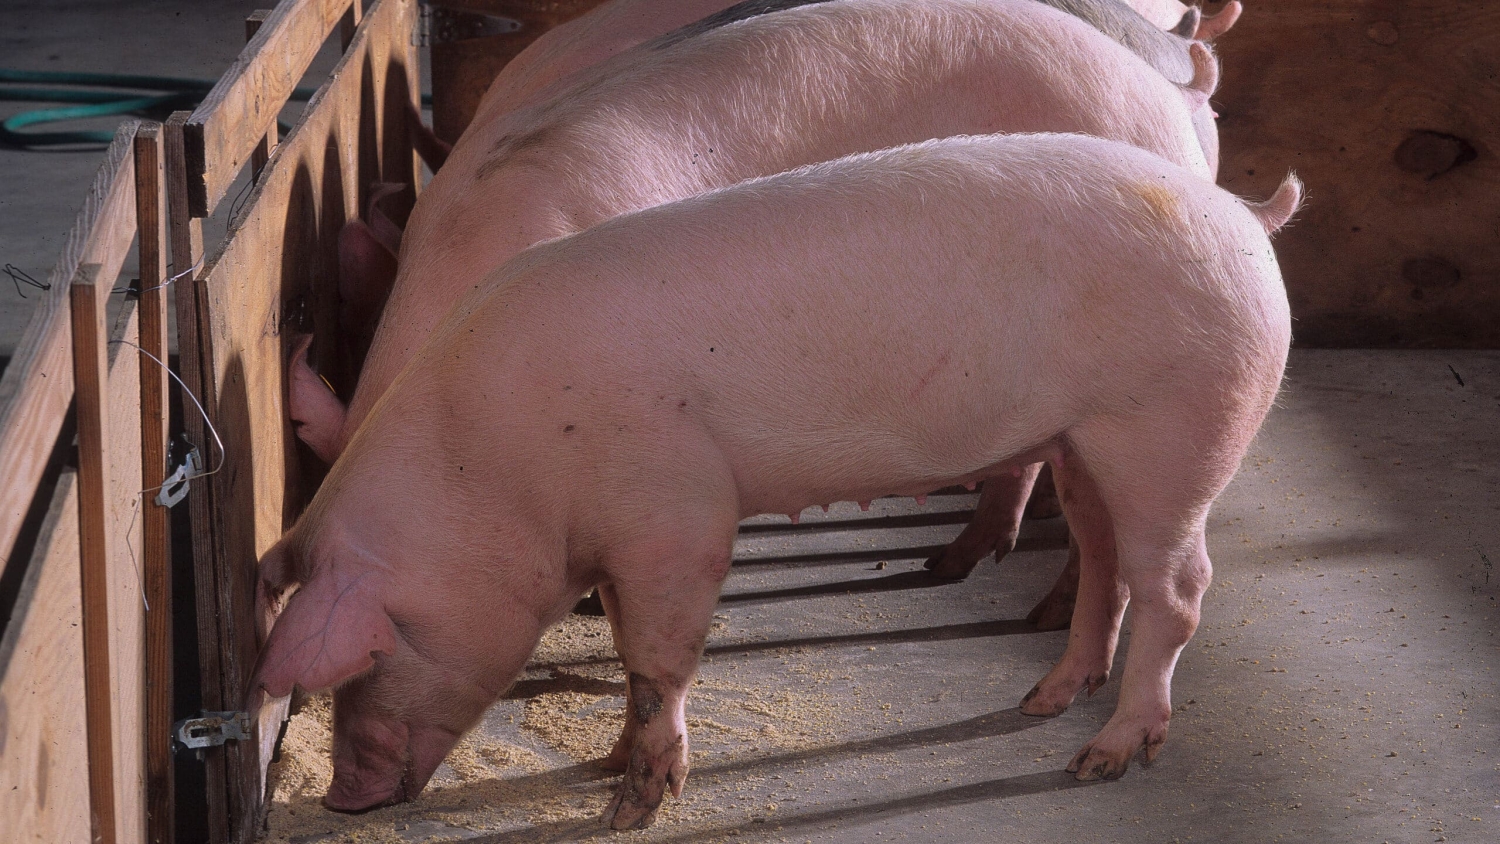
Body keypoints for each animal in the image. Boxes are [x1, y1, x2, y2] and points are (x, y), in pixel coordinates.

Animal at [254, 131, 1302, 827]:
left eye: (368, 655)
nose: (341, 799)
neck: (498, 466)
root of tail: (1246, 218)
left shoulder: (677, 514)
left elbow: (660, 661)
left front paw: (631, 808)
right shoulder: (625, 539)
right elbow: (632, 656)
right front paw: (608, 764)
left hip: (1173, 426)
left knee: (1178, 585)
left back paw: (1102, 759)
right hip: (1082, 441)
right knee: (1103, 557)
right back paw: (1042, 702)